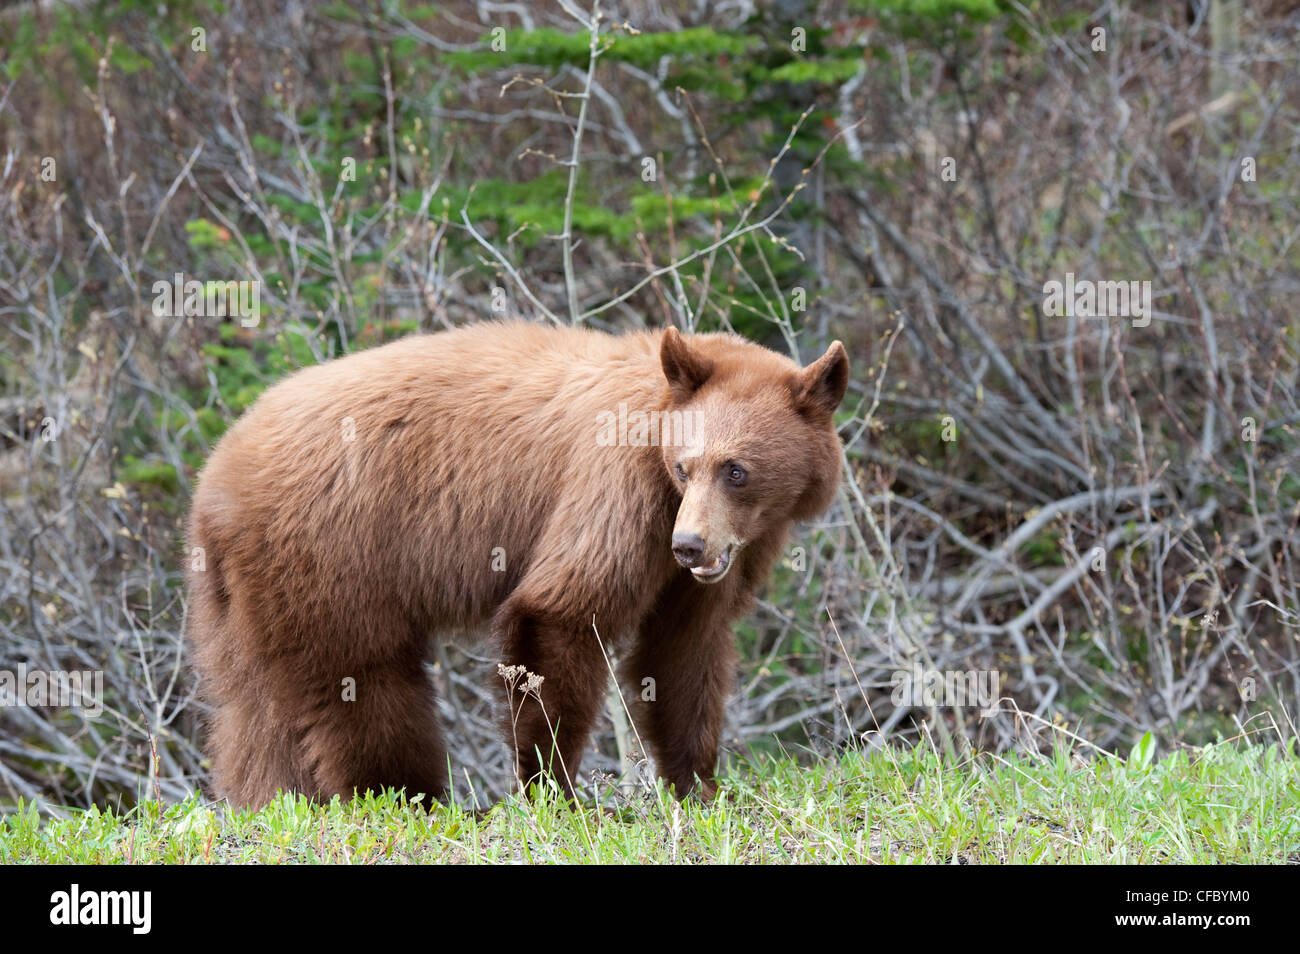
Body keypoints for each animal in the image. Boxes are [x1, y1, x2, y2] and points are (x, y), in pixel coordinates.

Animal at [188, 321, 847, 805]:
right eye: (685, 466)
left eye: (736, 470)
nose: (688, 546)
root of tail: (215, 477)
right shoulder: (617, 486)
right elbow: (561, 612)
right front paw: (552, 790)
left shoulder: (727, 554)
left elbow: (685, 649)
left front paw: (699, 785)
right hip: (331, 552)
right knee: (363, 681)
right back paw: (407, 796)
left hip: (239, 593)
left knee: (251, 706)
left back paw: (267, 797)